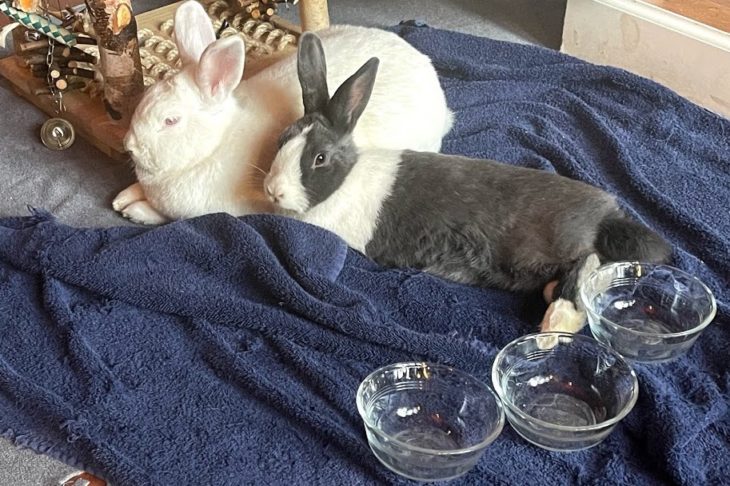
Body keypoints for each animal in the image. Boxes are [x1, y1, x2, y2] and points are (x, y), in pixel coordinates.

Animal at [112, 0, 453, 225]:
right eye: (145, 97)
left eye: (170, 121)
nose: (129, 145)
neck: (213, 145)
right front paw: (124, 197)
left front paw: (134, 210)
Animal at [263, 36, 673, 334]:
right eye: (283, 139)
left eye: (319, 158)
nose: (273, 190)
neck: (345, 180)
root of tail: (608, 215)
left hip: (559, 245)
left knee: (586, 264)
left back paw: (556, 323)